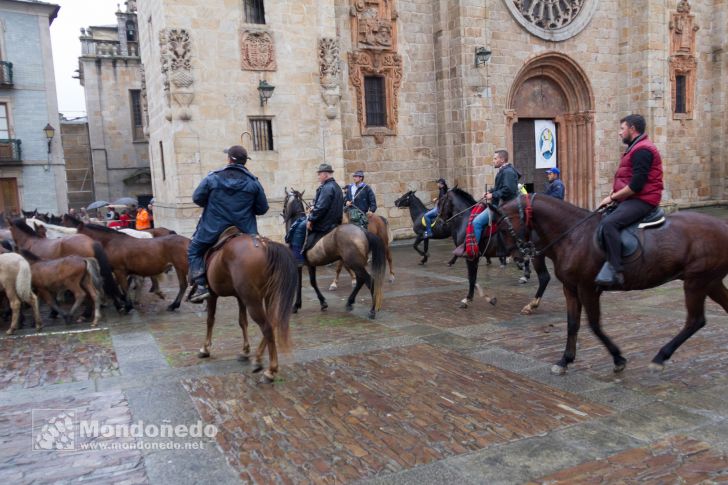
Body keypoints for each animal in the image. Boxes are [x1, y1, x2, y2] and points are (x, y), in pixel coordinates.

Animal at [198, 233, 298, 382]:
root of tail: (264, 245)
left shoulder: (212, 295)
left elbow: (210, 320)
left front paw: (205, 348)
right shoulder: (240, 297)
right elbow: (242, 322)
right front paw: (245, 351)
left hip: (253, 301)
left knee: (267, 327)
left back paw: (270, 370)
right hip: (268, 296)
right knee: (272, 322)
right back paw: (258, 358)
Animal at [498, 195, 728, 376]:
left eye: (506, 225)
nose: (516, 257)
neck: (574, 235)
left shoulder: (587, 288)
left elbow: (594, 324)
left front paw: (618, 358)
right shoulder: (570, 288)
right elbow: (572, 324)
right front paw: (565, 360)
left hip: (696, 282)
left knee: (695, 321)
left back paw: (660, 357)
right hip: (710, 282)